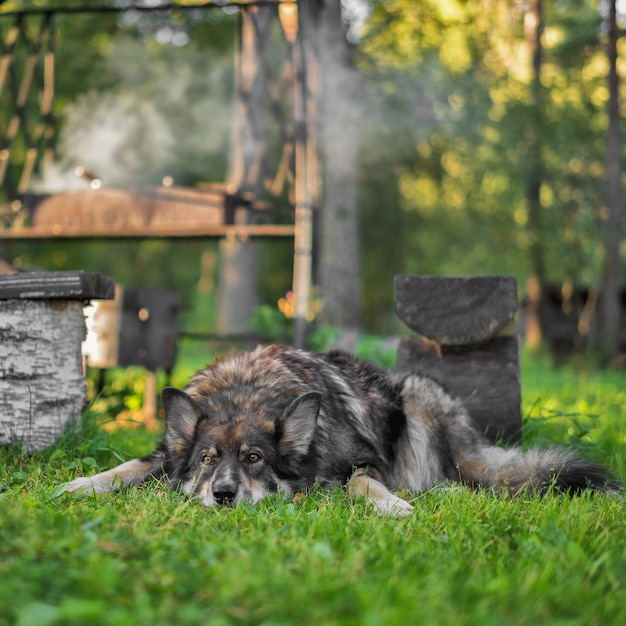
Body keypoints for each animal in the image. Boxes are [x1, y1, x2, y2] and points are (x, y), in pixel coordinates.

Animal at [63, 344, 620, 516]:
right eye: (206, 460)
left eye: (254, 459)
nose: (222, 496)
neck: (247, 390)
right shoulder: (166, 454)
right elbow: (132, 464)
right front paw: (80, 484)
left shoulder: (363, 460)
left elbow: (360, 482)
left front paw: (391, 506)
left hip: (415, 400)